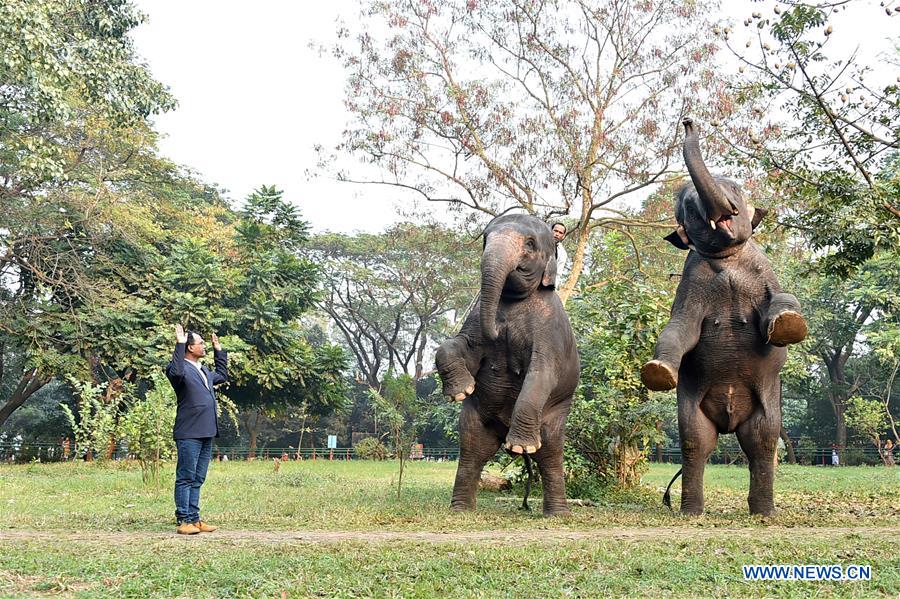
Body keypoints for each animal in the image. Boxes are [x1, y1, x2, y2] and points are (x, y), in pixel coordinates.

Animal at [438, 213, 584, 516]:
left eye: (529, 243)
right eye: (484, 239)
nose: (498, 329)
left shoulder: (549, 328)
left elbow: (542, 373)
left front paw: (520, 447)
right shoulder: (474, 318)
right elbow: (460, 346)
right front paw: (461, 391)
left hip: (555, 414)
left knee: (550, 453)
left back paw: (556, 511)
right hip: (477, 418)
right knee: (472, 450)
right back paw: (461, 510)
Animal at [640, 118, 808, 516]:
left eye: (737, 190)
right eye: (687, 208)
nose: (688, 121)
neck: (728, 258)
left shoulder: (763, 271)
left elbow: (781, 298)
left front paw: (789, 325)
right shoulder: (692, 283)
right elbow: (680, 327)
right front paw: (657, 372)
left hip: (766, 403)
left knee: (762, 440)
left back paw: (763, 512)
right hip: (692, 407)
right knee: (695, 441)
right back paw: (691, 512)